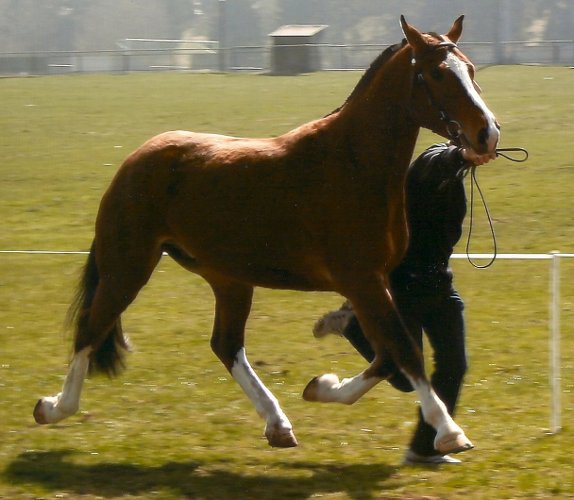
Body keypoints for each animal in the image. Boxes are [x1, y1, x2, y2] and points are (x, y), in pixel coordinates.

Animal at [33, 15, 500, 456]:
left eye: (471, 68)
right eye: (437, 74)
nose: (487, 133)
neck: (352, 164)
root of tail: (134, 161)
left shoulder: (375, 282)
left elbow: (388, 358)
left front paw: (322, 386)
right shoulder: (362, 280)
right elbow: (404, 352)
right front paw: (450, 432)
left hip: (228, 279)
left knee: (226, 345)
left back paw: (278, 425)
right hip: (127, 268)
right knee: (90, 329)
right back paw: (54, 408)